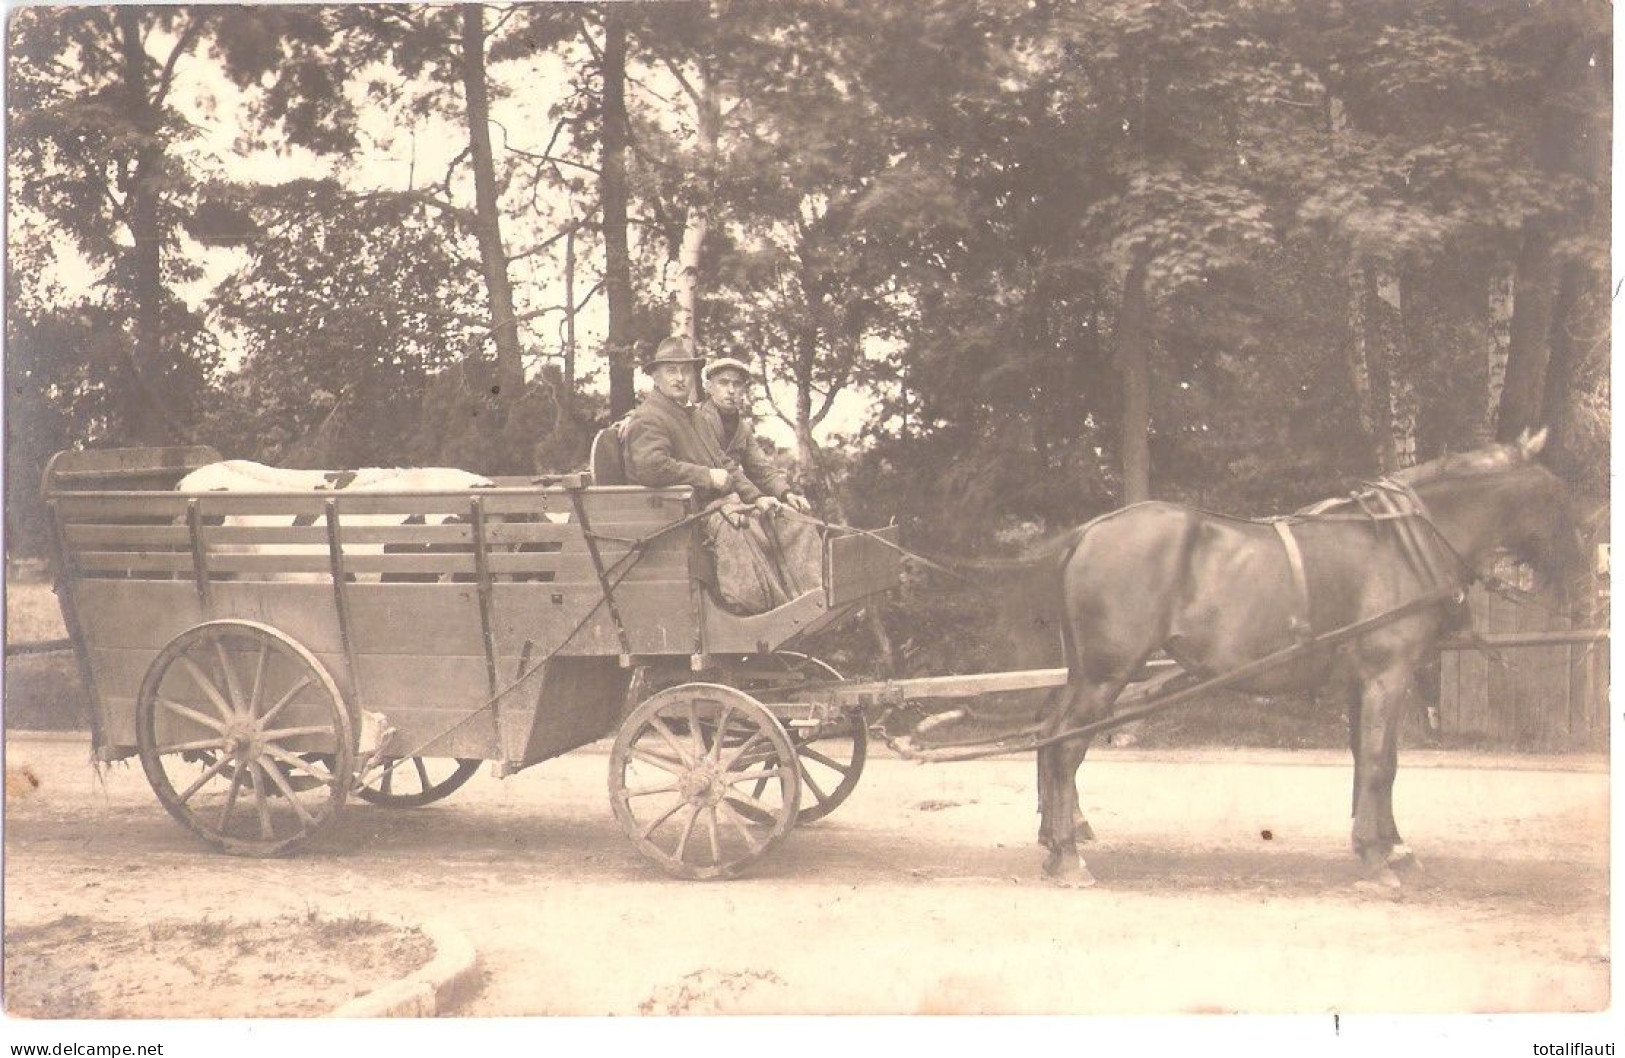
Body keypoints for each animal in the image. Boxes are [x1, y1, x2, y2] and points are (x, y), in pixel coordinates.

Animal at [1033, 429, 1579, 884]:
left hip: (1084, 673)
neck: (1400, 545)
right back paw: (1069, 858)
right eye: (1557, 497)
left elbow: (1377, 759)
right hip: (1106, 675)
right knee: (1066, 745)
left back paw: (1056, 844)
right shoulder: (1388, 675)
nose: (1576, 576)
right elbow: (1379, 763)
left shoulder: (1363, 681)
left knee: (1048, 732)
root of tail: (1088, 533)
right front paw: (1378, 859)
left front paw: (1387, 846)